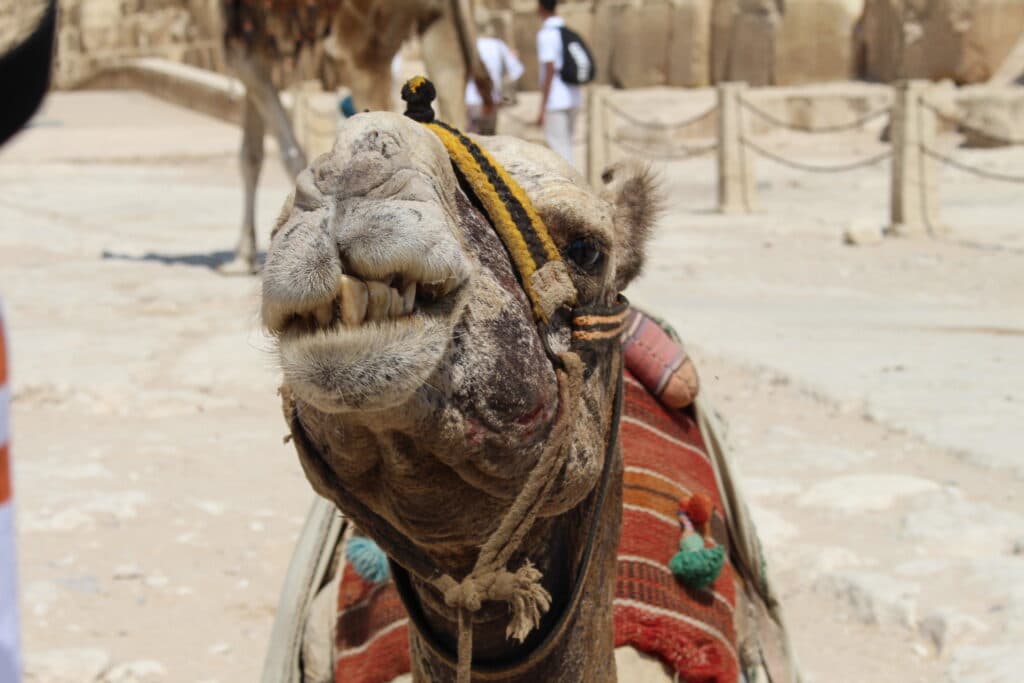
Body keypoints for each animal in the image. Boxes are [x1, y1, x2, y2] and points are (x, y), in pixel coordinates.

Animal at [218, 0, 489, 272]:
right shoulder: (249, 32)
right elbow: (251, 153)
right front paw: (244, 256)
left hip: (363, 33)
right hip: (435, 17)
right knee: (450, 77)